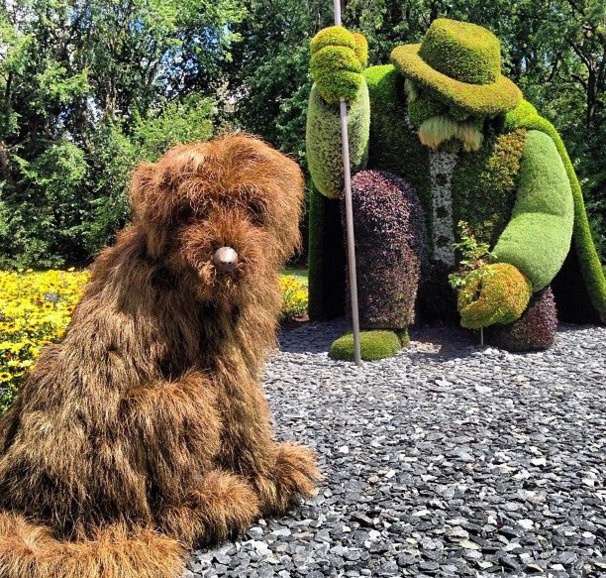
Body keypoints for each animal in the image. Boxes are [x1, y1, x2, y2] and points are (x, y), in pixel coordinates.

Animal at [0, 134, 324, 576]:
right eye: (192, 210)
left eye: (251, 206)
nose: (225, 260)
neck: (176, 273)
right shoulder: (224, 359)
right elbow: (244, 417)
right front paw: (271, 476)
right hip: (169, 407)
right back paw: (210, 501)